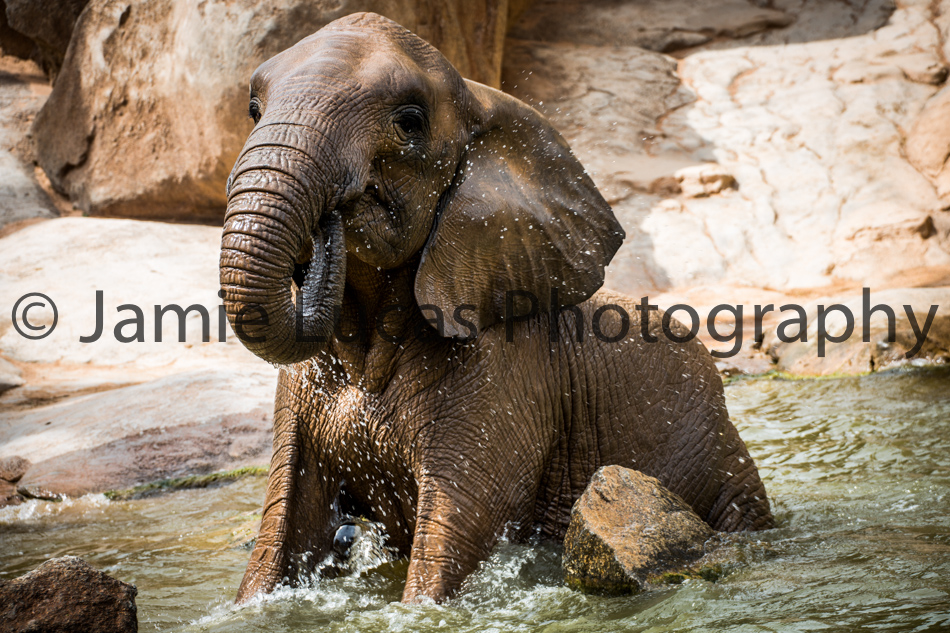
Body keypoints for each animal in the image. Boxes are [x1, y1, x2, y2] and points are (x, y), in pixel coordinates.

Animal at [219, 12, 773, 605]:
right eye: (253, 110)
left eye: (409, 121)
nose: (330, 219)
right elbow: (281, 533)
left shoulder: (503, 374)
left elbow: (451, 535)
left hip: (718, 461)